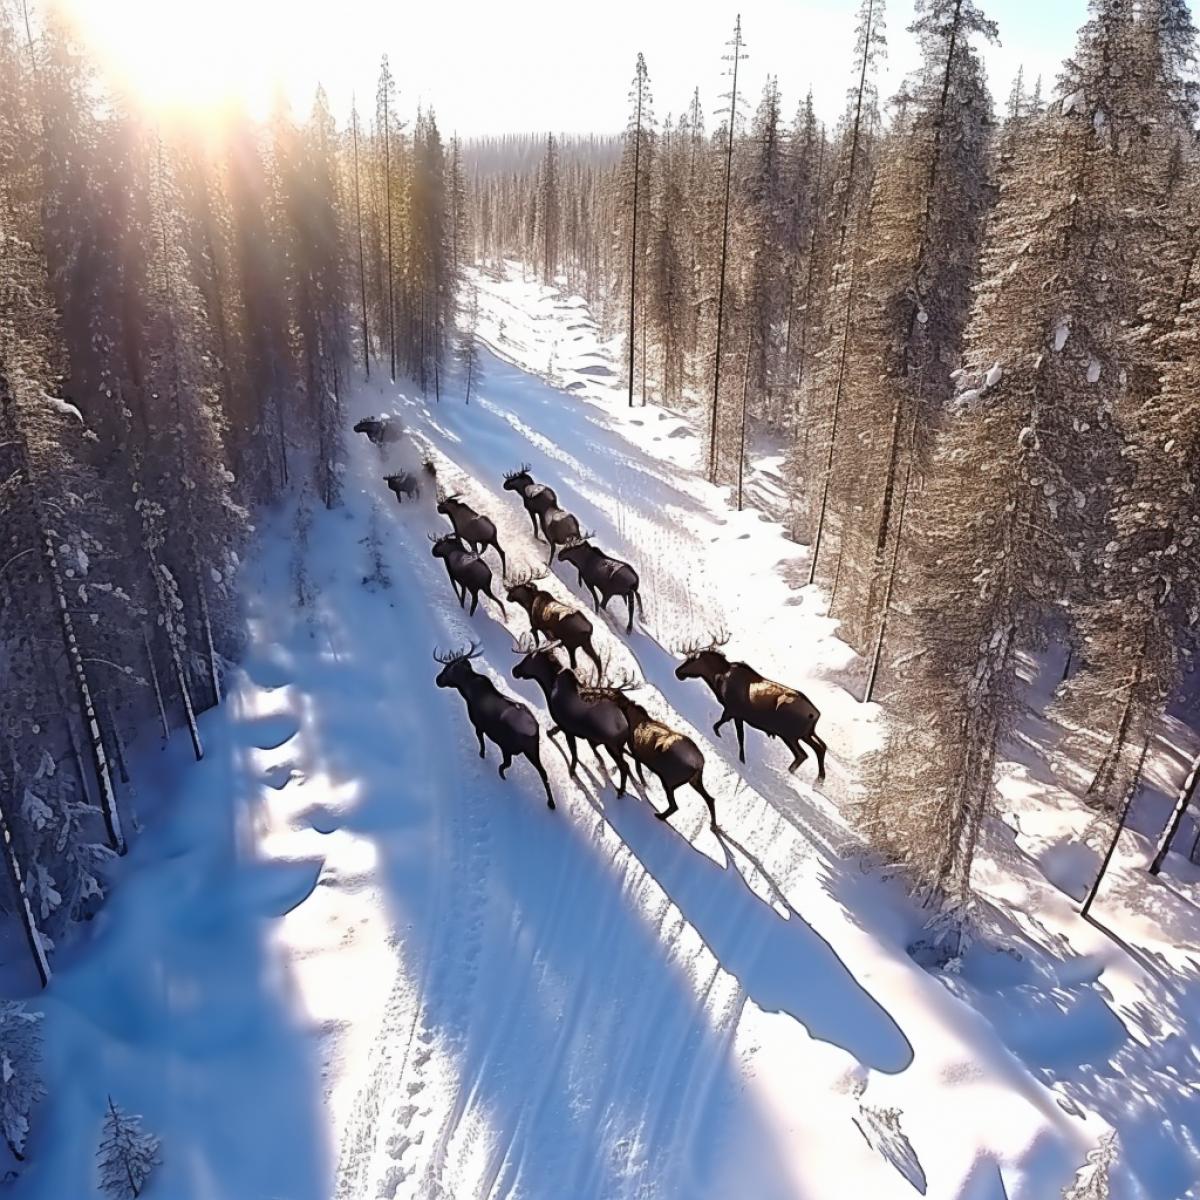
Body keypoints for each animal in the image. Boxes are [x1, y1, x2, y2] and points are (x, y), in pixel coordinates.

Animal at [434, 644, 555, 809]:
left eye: (447, 668)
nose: (437, 679)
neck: (466, 690)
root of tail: (533, 728)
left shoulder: (478, 725)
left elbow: (481, 743)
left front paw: (482, 755)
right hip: (532, 749)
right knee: (543, 772)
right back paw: (551, 803)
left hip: (509, 745)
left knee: (507, 764)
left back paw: (502, 774)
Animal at [510, 640, 631, 795]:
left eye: (527, 659)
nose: (515, 670)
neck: (549, 685)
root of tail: (626, 729)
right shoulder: (564, 725)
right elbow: (556, 732)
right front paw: (549, 733)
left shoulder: (568, 729)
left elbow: (574, 754)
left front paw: (572, 772)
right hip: (615, 747)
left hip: (612, 746)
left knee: (625, 766)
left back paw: (620, 791)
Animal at [674, 632, 827, 780]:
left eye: (692, 659)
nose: (678, 672)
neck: (718, 680)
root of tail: (815, 714)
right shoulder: (737, 715)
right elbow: (739, 737)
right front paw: (742, 759)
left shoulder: (732, 710)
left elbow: (723, 728)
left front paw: (739, 757)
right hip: (807, 733)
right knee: (821, 747)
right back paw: (819, 779)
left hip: (789, 734)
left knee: (802, 754)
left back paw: (793, 773)